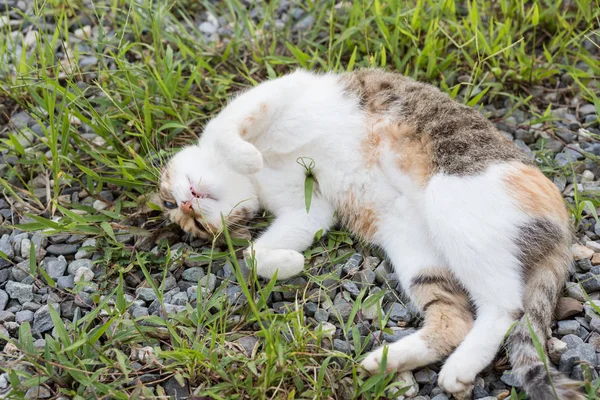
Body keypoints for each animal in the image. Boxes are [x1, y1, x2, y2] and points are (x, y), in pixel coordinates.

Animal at [159, 69, 580, 400]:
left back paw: (454, 367)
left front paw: (245, 155)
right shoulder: (310, 210)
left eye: (167, 198)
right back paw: (388, 362)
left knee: (507, 306)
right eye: (195, 227)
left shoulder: (279, 92)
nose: (186, 207)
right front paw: (289, 263)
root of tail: (564, 227)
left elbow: (229, 131)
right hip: (414, 246)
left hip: (451, 199)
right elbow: (254, 253)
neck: (257, 179)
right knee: (457, 318)